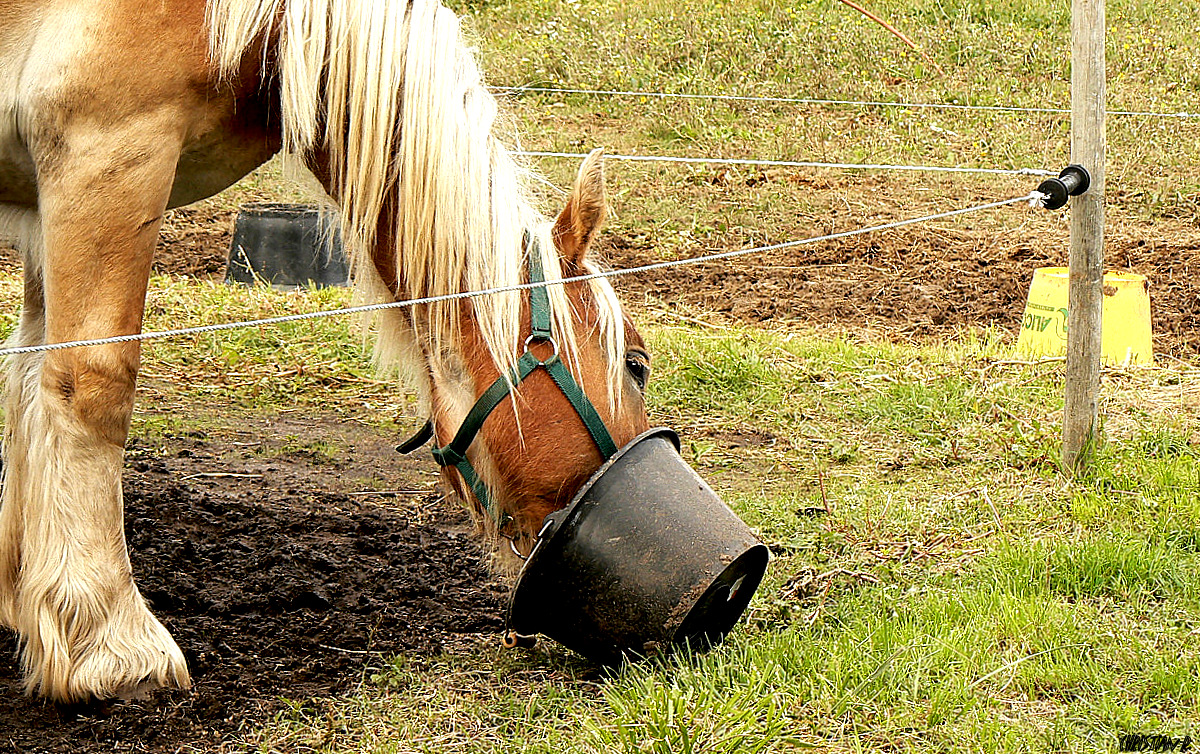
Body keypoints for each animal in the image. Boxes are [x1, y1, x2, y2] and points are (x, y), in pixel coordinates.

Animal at [2, 0, 657, 701]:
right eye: (636, 365)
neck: (253, 27)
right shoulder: (107, 153)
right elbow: (90, 385)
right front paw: (112, 646)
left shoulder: (48, 193)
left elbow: (26, 374)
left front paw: (23, 602)